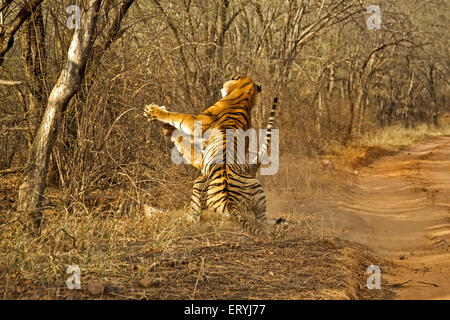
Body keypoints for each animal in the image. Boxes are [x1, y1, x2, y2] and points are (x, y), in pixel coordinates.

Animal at [144, 75, 284, 238]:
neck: (244, 94)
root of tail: (230, 202)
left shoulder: (196, 124)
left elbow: (177, 120)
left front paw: (154, 112)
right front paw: (165, 125)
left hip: (199, 184)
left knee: (196, 216)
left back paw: (187, 221)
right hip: (257, 188)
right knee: (263, 221)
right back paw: (278, 224)